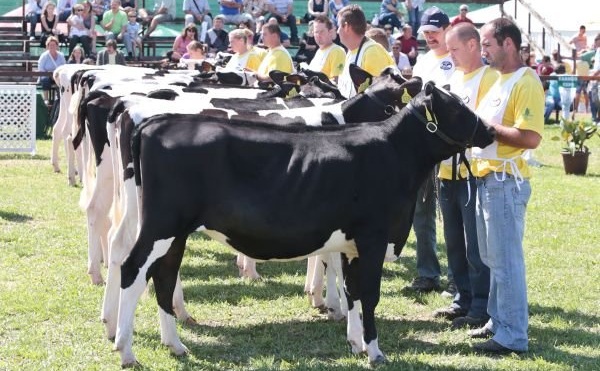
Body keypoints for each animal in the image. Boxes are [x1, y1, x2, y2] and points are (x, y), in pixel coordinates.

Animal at [113, 83, 496, 368]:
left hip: (175, 231)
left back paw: (175, 345)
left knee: (164, 277)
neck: (394, 152)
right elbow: (369, 295)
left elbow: (353, 292)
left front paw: (356, 343)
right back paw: (126, 350)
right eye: (458, 109)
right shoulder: (373, 237)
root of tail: (158, 122)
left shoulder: (350, 243)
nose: (491, 130)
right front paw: (375, 351)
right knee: (132, 269)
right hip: (161, 225)